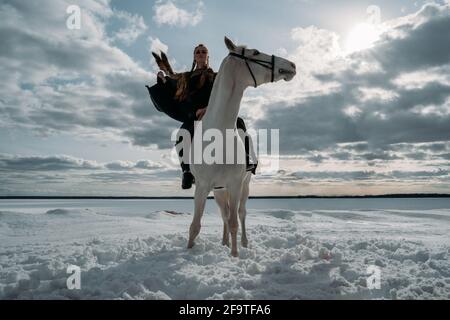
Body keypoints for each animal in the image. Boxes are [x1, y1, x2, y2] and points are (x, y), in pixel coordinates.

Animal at [186, 37, 296, 258]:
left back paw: (243, 243)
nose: (292, 65)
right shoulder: (202, 186)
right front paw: (188, 250)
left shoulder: (236, 184)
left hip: (244, 186)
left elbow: (235, 222)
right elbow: (195, 225)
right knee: (224, 214)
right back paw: (223, 242)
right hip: (219, 191)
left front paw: (235, 256)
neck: (219, 136)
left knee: (240, 214)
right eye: (255, 52)